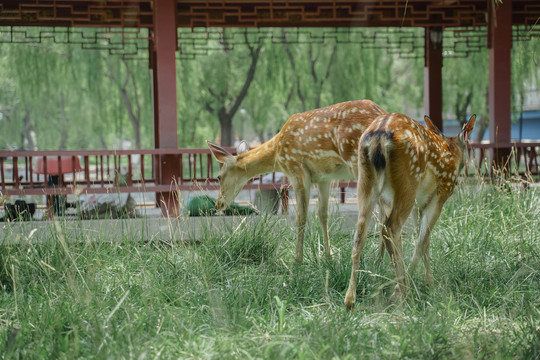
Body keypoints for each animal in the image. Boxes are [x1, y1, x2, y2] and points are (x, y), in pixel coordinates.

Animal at [207, 100, 388, 262]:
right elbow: (323, 214)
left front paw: (297, 260)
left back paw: (377, 259)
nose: (218, 204)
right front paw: (328, 257)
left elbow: (301, 218)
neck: (277, 153)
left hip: (358, 162)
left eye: (218, 177)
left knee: (380, 208)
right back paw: (379, 259)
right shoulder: (324, 177)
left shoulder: (296, 169)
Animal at [344, 112, 474, 310]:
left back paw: (350, 300)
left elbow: (423, 240)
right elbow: (421, 241)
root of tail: (379, 137)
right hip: (408, 182)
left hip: (365, 180)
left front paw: (429, 284)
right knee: (391, 227)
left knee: (361, 232)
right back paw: (404, 294)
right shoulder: (440, 195)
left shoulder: (419, 204)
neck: (452, 152)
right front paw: (417, 287)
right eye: (469, 146)